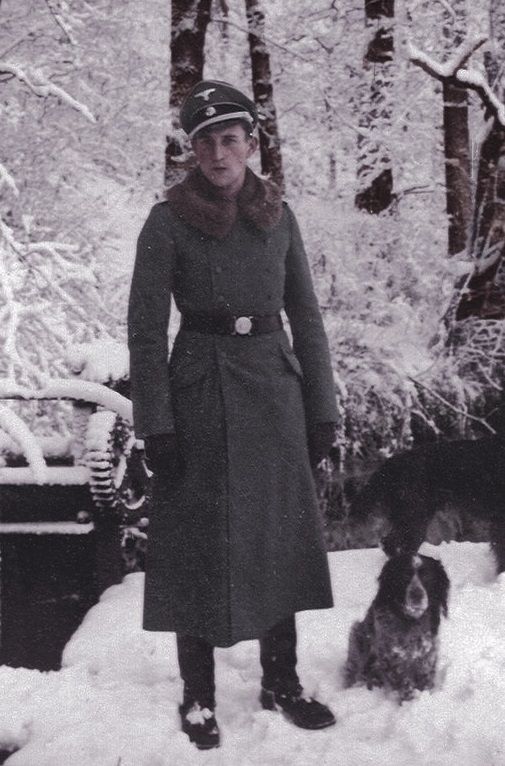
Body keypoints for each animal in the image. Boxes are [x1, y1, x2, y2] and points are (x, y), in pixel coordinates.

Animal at [342, 556, 448, 704]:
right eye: (405, 575)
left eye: (427, 576)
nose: (417, 595)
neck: (411, 620)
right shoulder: (392, 657)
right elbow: (404, 684)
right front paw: (409, 702)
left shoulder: (427, 655)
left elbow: (425, 680)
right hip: (357, 636)